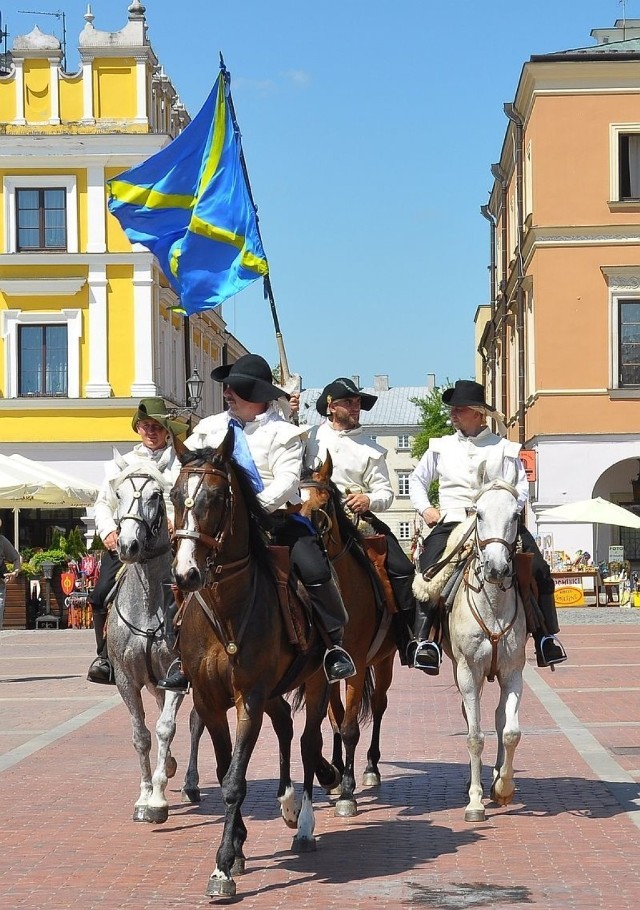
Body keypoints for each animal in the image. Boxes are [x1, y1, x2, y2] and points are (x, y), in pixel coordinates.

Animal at [170, 432, 340, 896]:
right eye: (174, 495)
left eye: (215, 497)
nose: (186, 574)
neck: (225, 608)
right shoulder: (210, 700)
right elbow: (225, 768)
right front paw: (238, 845)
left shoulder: (248, 698)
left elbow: (234, 782)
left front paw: (223, 866)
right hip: (275, 691)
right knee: (284, 726)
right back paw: (287, 799)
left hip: (317, 682)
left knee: (309, 742)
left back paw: (305, 821)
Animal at [298, 456, 396, 820]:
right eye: (295, 499)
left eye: (324, 502)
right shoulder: (322, 672)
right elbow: (336, 722)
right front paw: (335, 775)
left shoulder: (357, 665)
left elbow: (352, 727)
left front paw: (349, 793)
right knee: (336, 717)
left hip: (384, 662)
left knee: (379, 706)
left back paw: (369, 767)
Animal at [416, 478, 524, 828]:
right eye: (478, 515)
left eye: (516, 515)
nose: (496, 567)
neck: (493, 605)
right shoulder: (467, 671)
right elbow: (474, 736)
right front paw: (475, 802)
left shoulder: (513, 672)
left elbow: (510, 731)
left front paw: (503, 787)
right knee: (470, 717)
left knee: (500, 718)